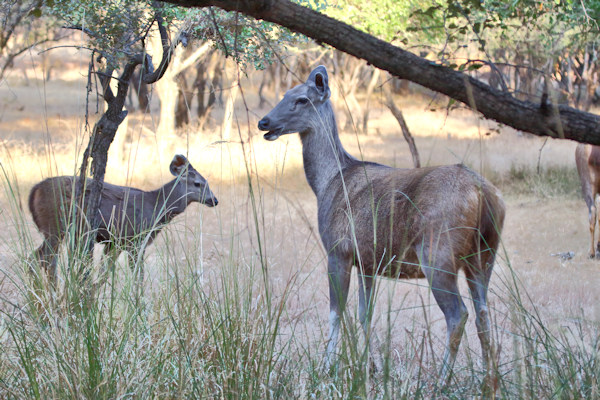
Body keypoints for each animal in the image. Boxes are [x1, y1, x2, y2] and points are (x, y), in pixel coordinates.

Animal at [28, 154, 218, 284]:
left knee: (42, 260)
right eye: (198, 183)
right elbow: (137, 276)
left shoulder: (115, 242)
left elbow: (103, 273)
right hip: (56, 225)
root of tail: (34, 191)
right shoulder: (135, 239)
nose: (214, 200)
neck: (156, 207)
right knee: (39, 259)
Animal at [258, 65, 506, 384]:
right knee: (483, 315)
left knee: (458, 314)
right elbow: (365, 314)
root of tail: (484, 194)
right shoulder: (367, 261)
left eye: (301, 99)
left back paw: (442, 381)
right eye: (285, 93)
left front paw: (327, 368)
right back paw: (489, 380)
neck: (328, 182)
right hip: (485, 254)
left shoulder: (338, 250)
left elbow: (336, 312)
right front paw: (371, 368)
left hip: (438, 252)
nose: (264, 122)